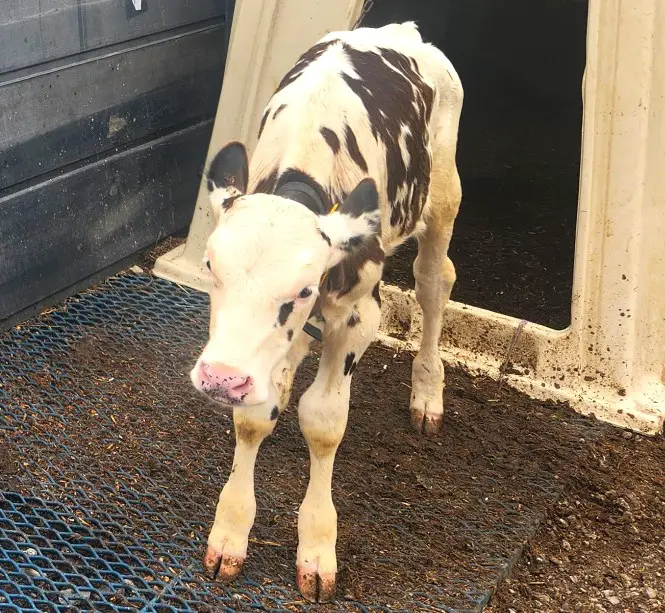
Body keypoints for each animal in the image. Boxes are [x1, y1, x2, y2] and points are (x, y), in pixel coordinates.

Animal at [189, 20, 462, 604]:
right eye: (210, 266)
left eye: (304, 288)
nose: (220, 379)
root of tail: (401, 30)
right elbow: (253, 418)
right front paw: (231, 532)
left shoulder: (359, 316)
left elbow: (323, 422)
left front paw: (316, 546)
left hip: (444, 194)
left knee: (434, 283)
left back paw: (428, 392)